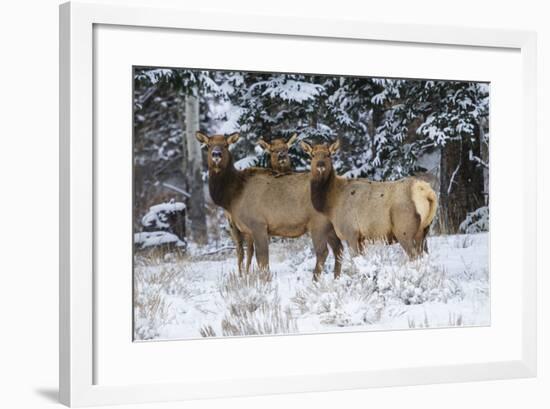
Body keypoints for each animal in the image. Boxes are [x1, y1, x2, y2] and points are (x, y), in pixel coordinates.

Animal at [197, 132, 344, 278]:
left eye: (226, 145)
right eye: (208, 145)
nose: (216, 154)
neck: (232, 196)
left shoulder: (258, 224)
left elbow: (262, 259)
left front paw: (264, 280)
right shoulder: (246, 229)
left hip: (318, 223)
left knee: (323, 252)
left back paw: (315, 279)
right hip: (330, 225)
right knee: (339, 249)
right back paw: (336, 278)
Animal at [302, 139, 440, 256]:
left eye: (328, 154)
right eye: (312, 155)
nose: (320, 165)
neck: (331, 205)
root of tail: (427, 193)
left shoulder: (351, 232)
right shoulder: (362, 238)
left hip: (404, 229)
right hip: (424, 231)